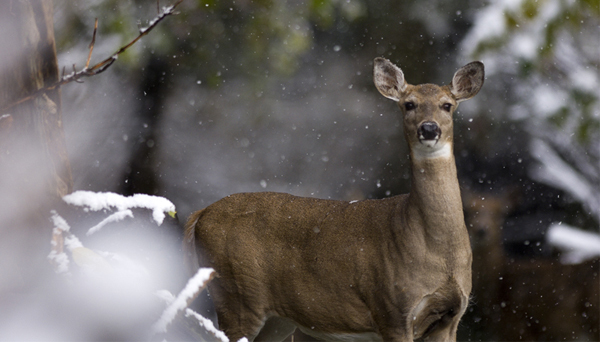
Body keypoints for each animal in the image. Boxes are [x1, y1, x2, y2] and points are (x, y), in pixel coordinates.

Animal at [185, 57, 486, 340]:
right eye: (409, 104)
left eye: (447, 105)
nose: (429, 129)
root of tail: (200, 215)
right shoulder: (391, 310)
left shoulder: (451, 317)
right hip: (236, 293)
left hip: (277, 319)